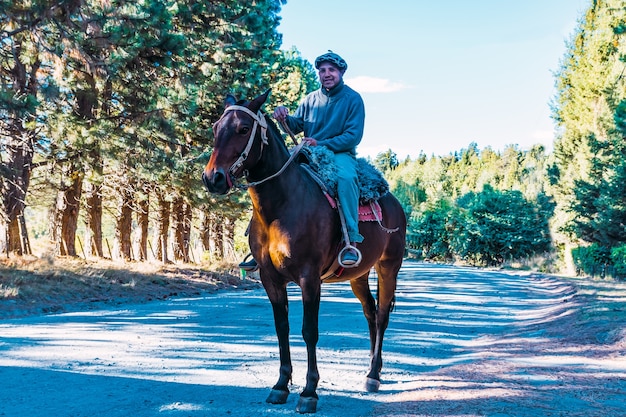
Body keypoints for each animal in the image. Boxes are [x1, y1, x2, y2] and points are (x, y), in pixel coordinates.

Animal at [202, 89, 408, 412]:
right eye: (215, 128)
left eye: (244, 129)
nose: (214, 178)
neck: (281, 206)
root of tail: (392, 201)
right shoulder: (270, 279)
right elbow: (282, 328)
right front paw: (280, 385)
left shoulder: (309, 279)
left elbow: (309, 330)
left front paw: (309, 392)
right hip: (358, 276)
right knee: (370, 312)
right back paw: (370, 370)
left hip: (389, 266)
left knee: (384, 314)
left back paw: (374, 376)